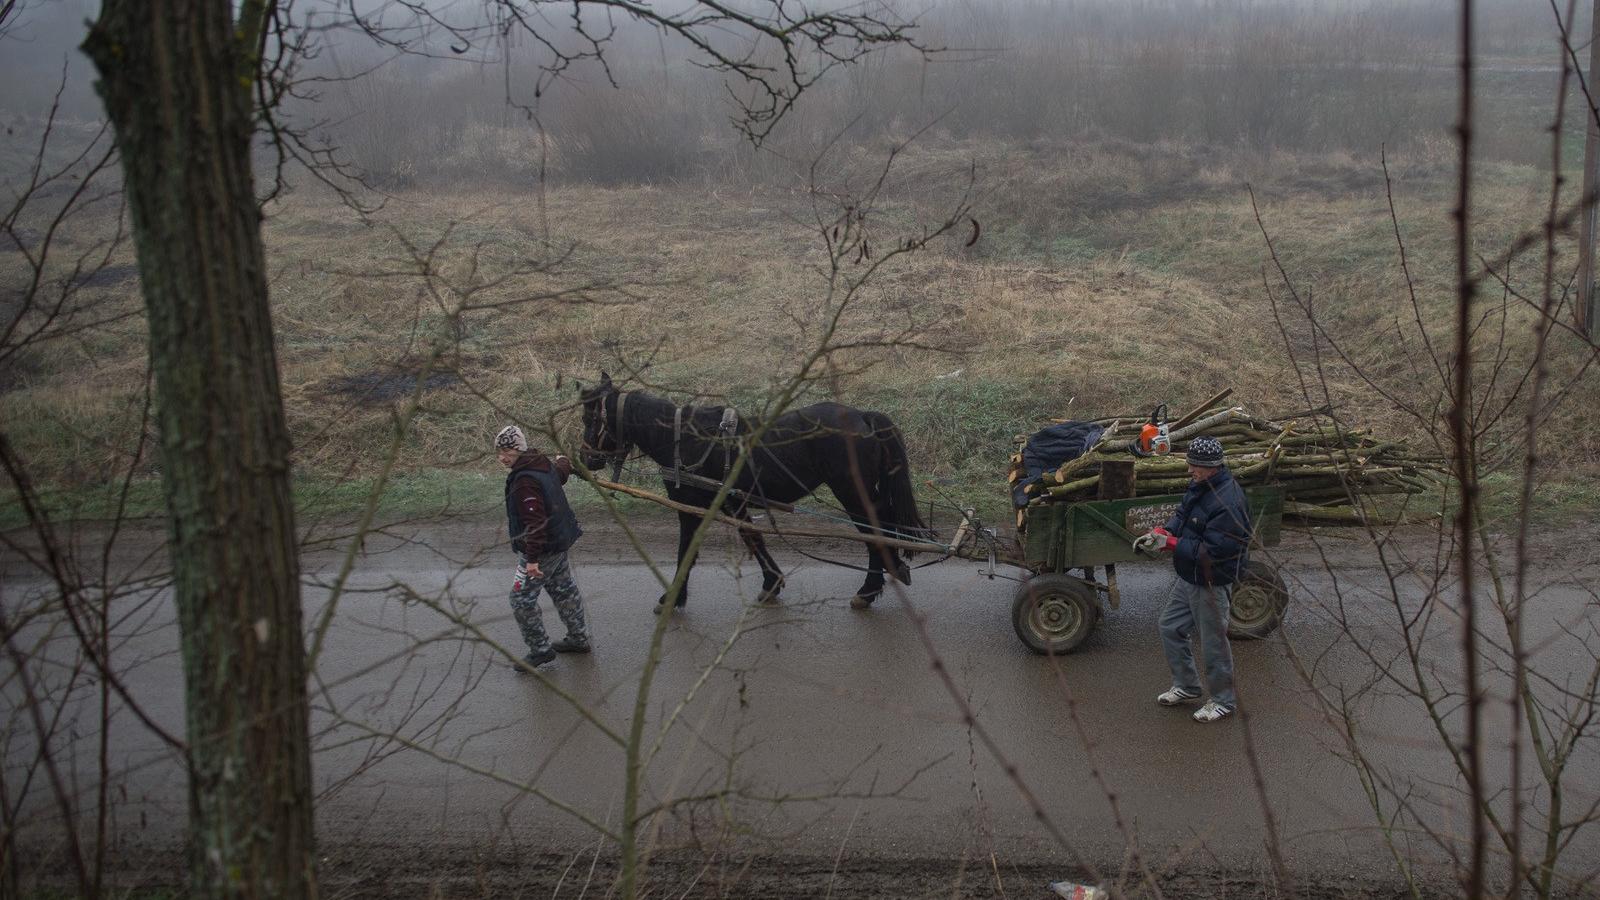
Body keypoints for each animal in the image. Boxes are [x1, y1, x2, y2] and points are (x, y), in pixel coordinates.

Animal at [579, 371, 934, 608]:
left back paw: (869, 589)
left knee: (873, 531)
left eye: (588, 419)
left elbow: (687, 549)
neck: (683, 439)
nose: (585, 458)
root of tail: (861, 415)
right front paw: (772, 582)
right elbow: (752, 536)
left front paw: (673, 596)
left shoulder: (692, 505)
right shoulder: (730, 502)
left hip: (851, 492)